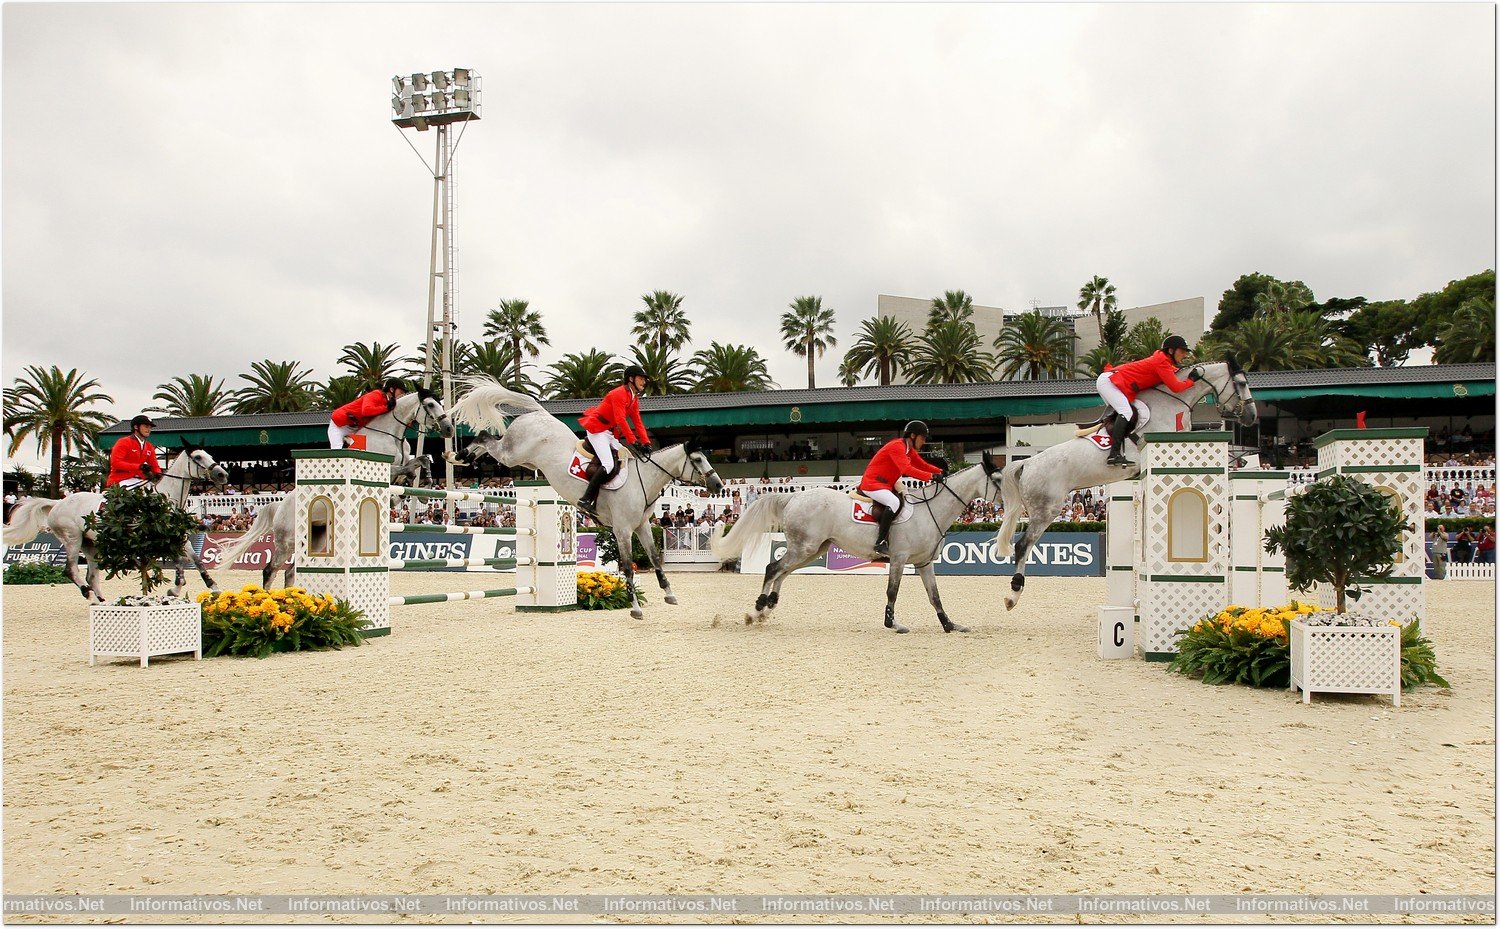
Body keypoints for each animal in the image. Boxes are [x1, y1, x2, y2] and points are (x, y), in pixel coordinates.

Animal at [2, 441, 228, 603]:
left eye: (210, 455)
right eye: (198, 456)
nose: (222, 474)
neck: (162, 499)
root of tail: (58, 502)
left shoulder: (178, 537)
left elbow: (196, 561)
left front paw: (214, 588)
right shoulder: (155, 539)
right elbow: (180, 562)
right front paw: (174, 589)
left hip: (90, 543)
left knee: (91, 575)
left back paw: (102, 600)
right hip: (72, 539)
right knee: (71, 570)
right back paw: (90, 596)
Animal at [444, 373, 726, 621]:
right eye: (698, 459)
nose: (718, 484)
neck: (643, 480)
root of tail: (540, 413)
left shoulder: (642, 526)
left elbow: (655, 558)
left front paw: (669, 594)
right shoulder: (622, 530)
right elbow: (627, 567)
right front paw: (635, 608)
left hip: (523, 460)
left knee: (489, 443)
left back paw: (462, 457)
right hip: (512, 453)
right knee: (487, 439)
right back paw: (456, 456)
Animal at [705, 456, 1008, 636]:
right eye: (997, 480)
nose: (1007, 506)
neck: (929, 509)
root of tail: (793, 498)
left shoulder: (924, 563)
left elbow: (934, 596)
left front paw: (949, 625)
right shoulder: (899, 559)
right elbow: (892, 592)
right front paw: (892, 623)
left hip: (813, 549)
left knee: (782, 571)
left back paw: (766, 608)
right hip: (804, 548)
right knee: (773, 568)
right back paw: (757, 609)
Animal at [1002, 360, 1260, 615]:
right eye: (1241, 383)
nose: (1251, 417)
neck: (1173, 401)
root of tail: (1026, 463)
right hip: (1046, 509)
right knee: (1023, 545)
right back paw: (1013, 594)